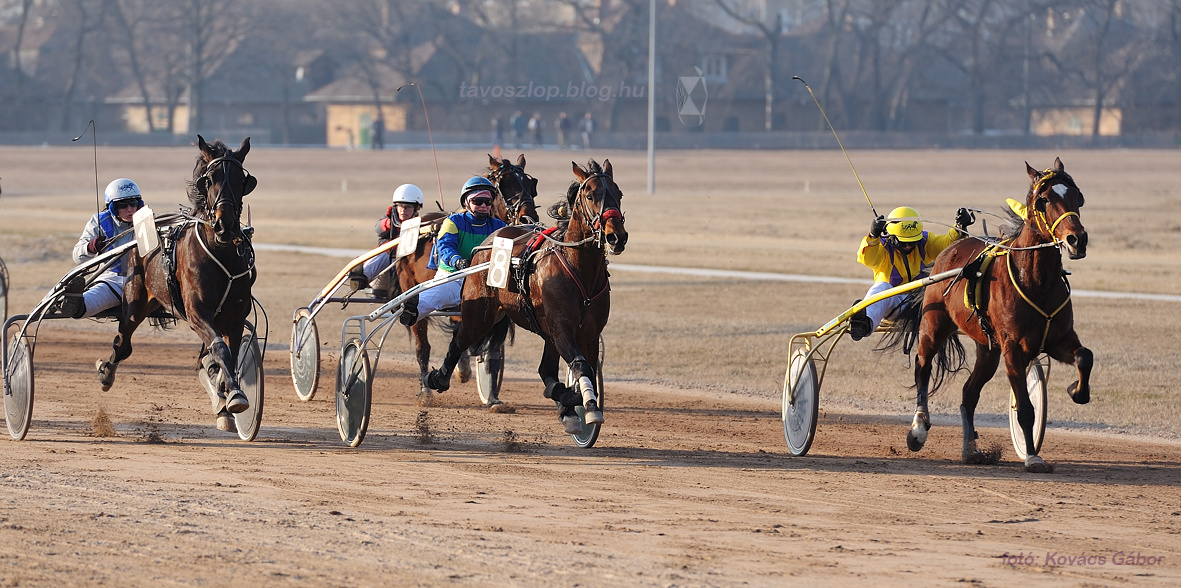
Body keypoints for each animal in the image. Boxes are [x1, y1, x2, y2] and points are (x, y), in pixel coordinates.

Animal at [98, 135, 257, 425]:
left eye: (242, 180)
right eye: (209, 179)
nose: (225, 224)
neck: (220, 252)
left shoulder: (235, 317)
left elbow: (226, 356)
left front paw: (229, 395)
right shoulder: (197, 312)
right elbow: (220, 349)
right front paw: (233, 395)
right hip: (134, 303)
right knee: (122, 343)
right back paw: (106, 372)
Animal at [396, 152, 543, 399]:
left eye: (531, 185)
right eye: (504, 184)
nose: (527, 218)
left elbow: (491, 352)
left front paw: (492, 396)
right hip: (413, 287)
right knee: (421, 341)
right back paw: (425, 388)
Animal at [425, 158, 628, 434]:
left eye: (619, 194)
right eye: (590, 195)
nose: (617, 236)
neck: (579, 269)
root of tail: (487, 242)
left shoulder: (588, 332)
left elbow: (582, 367)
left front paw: (577, 403)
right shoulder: (561, 327)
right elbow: (580, 365)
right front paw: (583, 401)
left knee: (545, 369)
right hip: (480, 315)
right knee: (459, 340)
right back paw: (438, 378)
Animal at [897, 159, 1091, 472]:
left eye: (1078, 196)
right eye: (1044, 200)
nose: (1077, 240)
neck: (1036, 281)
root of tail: (949, 249)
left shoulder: (1058, 338)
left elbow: (1085, 357)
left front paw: (1077, 391)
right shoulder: (1013, 347)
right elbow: (1024, 407)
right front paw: (1032, 456)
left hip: (987, 348)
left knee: (968, 393)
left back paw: (970, 449)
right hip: (933, 327)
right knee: (922, 367)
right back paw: (918, 429)